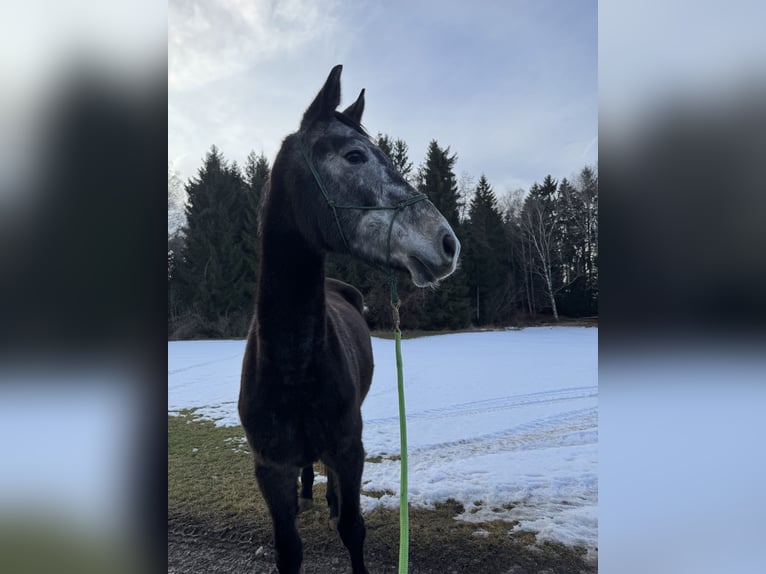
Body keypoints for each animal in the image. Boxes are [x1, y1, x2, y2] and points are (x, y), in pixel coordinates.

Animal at [238, 65, 460, 574]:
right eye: (354, 156)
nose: (447, 243)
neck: (292, 364)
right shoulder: (269, 469)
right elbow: (288, 549)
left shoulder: (349, 450)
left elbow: (352, 529)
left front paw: (341, 510)